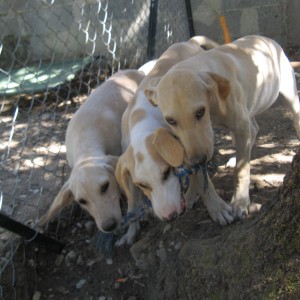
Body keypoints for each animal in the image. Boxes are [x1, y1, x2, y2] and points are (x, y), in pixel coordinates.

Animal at [145, 35, 300, 219]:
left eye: (200, 112)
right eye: (170, 120)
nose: (198, 159)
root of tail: (265, 38)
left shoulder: (240, 126)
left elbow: (241, 170)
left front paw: (240, 202)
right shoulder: (187, 144)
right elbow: (200, 175)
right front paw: (208, 202)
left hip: (288, 94)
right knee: (253, 129)